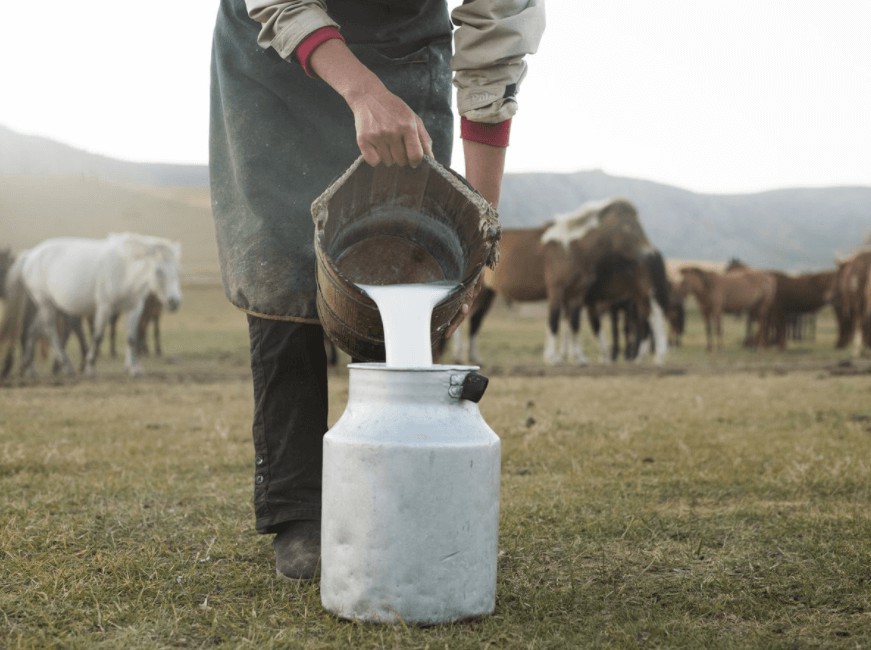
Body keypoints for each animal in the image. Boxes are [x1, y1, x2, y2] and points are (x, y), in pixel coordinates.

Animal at [1, 233, 182, 378]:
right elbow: (98, 335)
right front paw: (90, 367)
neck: (124, 269)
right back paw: (66, 367)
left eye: (177, 270)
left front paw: (133, 369)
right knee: (50, 331)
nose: (174, 301)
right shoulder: (105, 307)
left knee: (33, 331)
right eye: (159, 270)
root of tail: (29, 255)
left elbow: (132, 338)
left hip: (48, 305)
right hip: (46, 304)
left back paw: (29, 369)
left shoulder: (134, 308)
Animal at [540, 197, 672, 364]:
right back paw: (640, 358)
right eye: (629, 227)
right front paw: (564, 355)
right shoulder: (569, 296)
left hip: (647, 293)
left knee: (654, 319)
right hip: (640, 296)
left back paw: (658, 357)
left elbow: (567, 323)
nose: (650, 254)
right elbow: (566, 324)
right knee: (647, 322)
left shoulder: (579, 299)